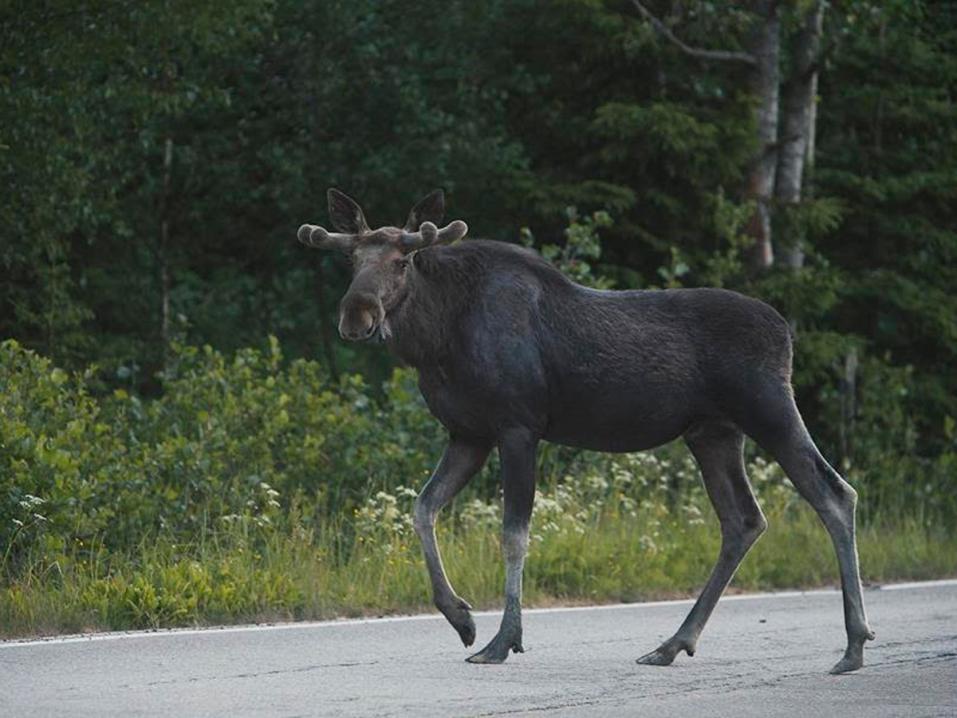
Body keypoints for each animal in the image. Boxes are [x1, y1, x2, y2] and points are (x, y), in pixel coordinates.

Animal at [298, 188, 872, 672]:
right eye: (352, 261)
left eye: (402, 261)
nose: (356, 315)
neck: (437, 342)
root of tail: (787, 333)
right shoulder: (468, 433)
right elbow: (422, 508)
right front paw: (461, 618)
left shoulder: (517, 426)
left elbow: (513, 535)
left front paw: (503, 640)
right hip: (712, 432)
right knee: (744, 520)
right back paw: (672, 644)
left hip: (769, 409)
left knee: (834, 493)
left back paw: (853, 646)